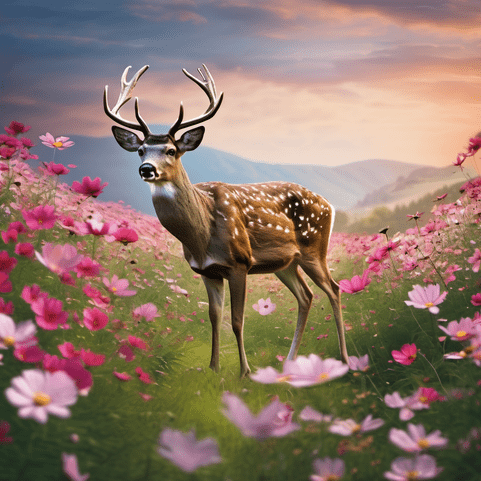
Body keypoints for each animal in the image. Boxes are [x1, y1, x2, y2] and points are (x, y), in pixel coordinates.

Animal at [103, 62, 346, 376]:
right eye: (141, 150)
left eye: (171, 150)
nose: (146, 169)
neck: (202, 235)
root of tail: (329, 205)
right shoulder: (208, 271)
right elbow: (214, 317)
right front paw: (213, 368)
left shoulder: (240, 262)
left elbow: (237, 320)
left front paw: (244, 372)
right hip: (285, 263)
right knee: (306, 296)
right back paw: (289, 365)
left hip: (314, 249)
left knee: (335, 289)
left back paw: (345, 360)